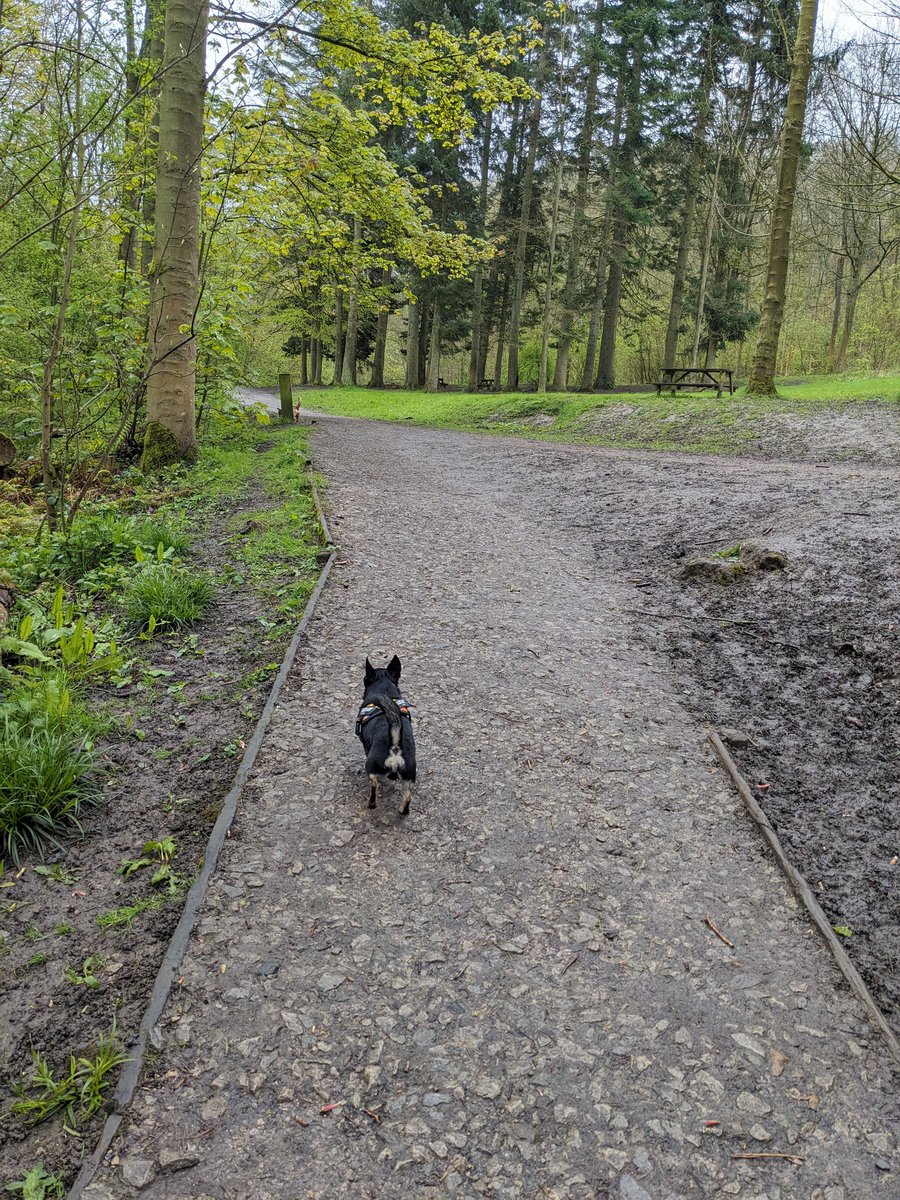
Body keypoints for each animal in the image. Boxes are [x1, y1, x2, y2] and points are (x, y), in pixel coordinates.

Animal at [357, 657, 417, 816]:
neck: (385, 690)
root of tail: (395, 745)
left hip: (371, 766)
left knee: (374, 785)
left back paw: (372, 803)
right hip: (410, 775)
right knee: (408, 796)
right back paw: (403, 810)